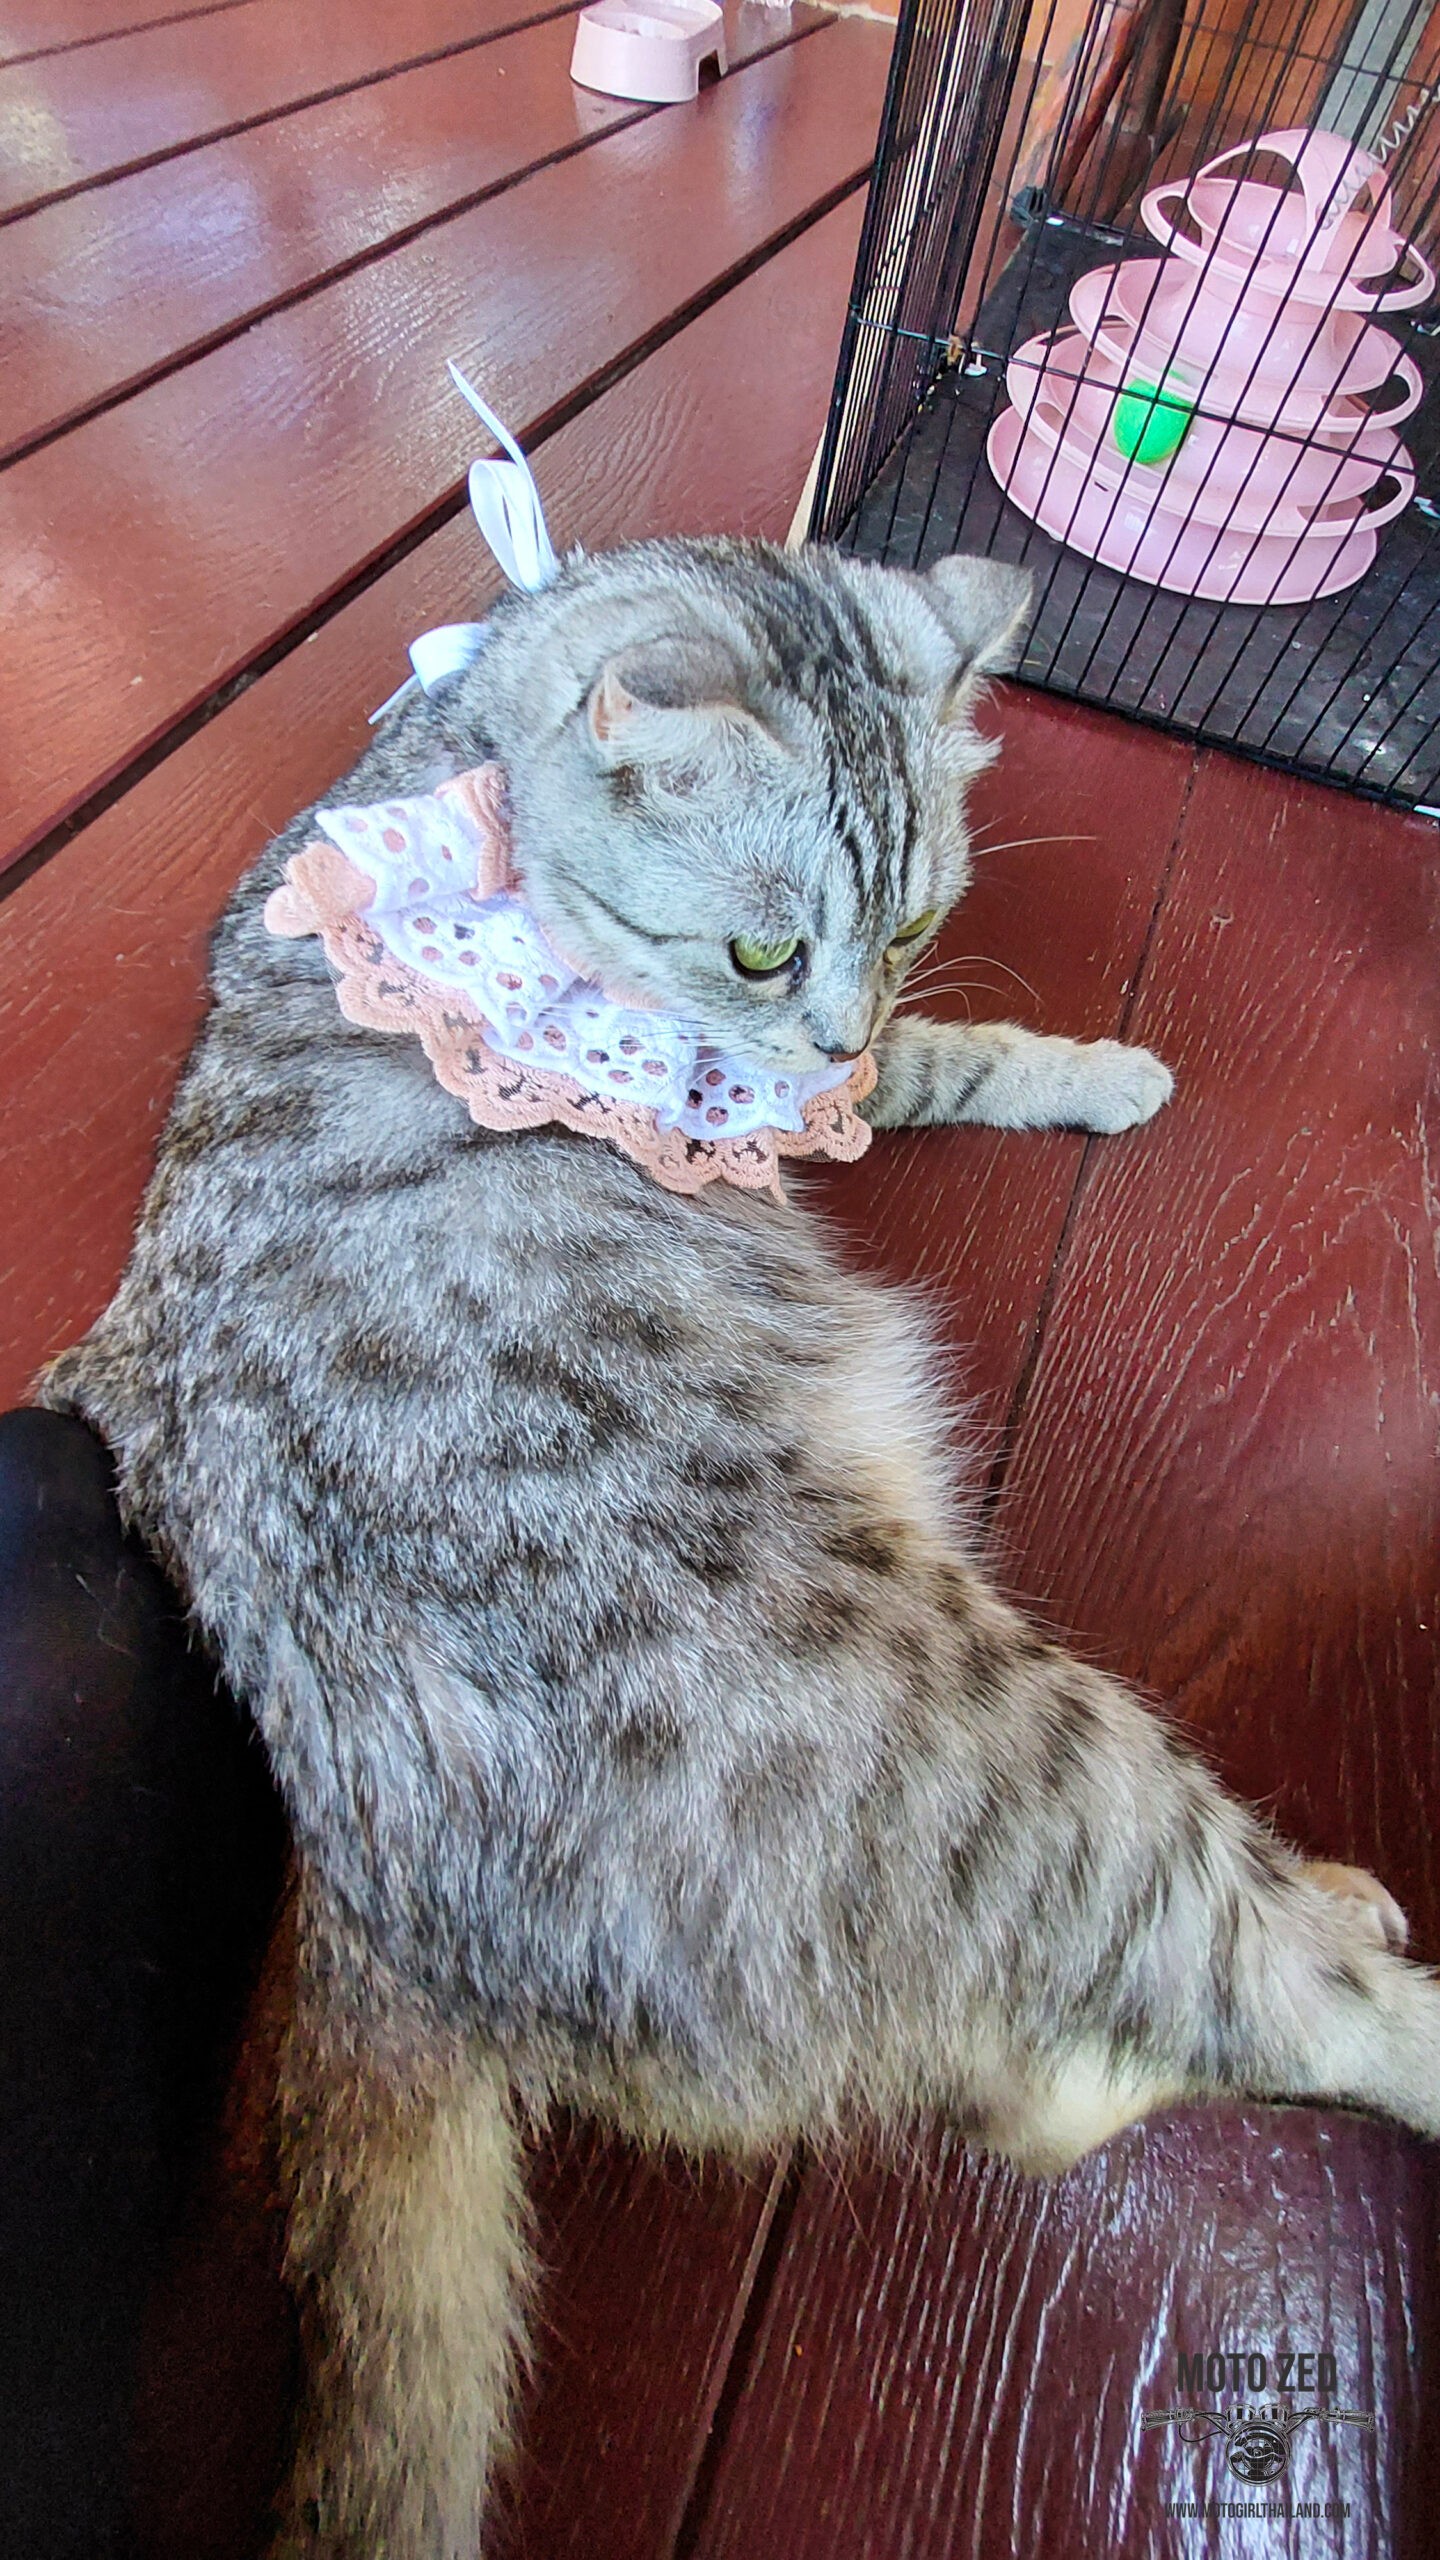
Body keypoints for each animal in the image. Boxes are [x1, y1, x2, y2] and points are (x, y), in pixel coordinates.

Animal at [41, 540, 1424, 2560]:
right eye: (761, 949)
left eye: (912, 921)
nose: (830, 1017)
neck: (470, 756)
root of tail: (373, 1919)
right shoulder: (733, 1068)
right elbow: (886, 1080)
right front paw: (1036, 1068)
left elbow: (922, 1063)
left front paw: (1052, 1062)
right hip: (1010, 1740)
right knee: (1240, 1999)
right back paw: (1372, 1965)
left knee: (1037, 2079)